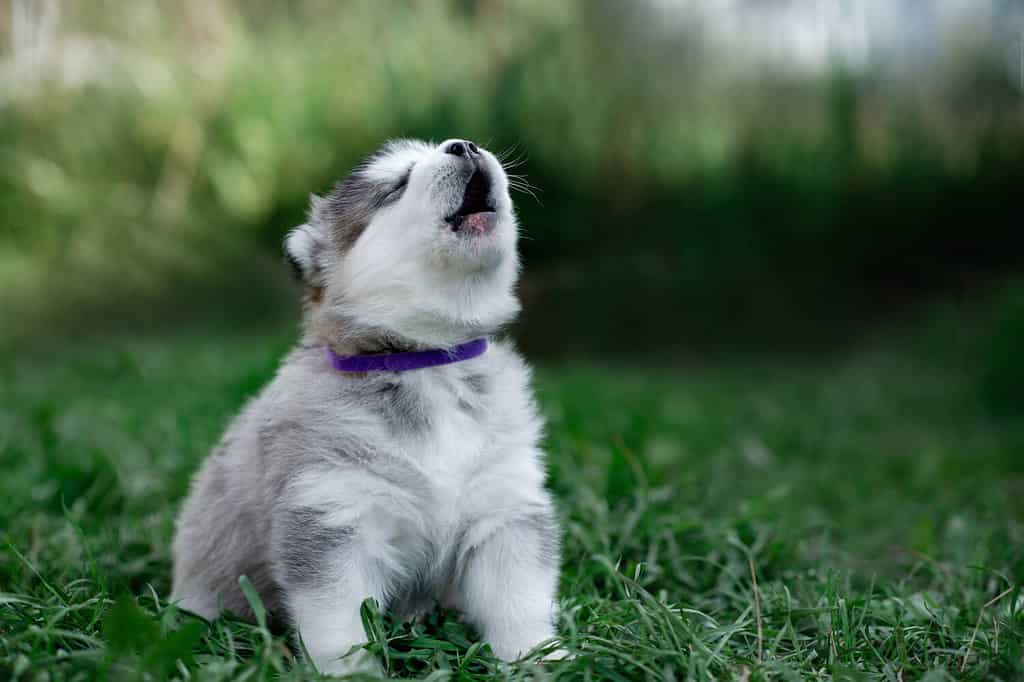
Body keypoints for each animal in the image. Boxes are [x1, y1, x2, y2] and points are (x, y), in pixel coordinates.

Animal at [173, 138, 565, 675]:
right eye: (396, 185)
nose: (465, 145)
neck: (427, 360)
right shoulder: (332, 512)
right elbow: (339, 622)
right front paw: (350, 672)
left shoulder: (503, 507)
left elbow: (518, 597)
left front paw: (538, 658)